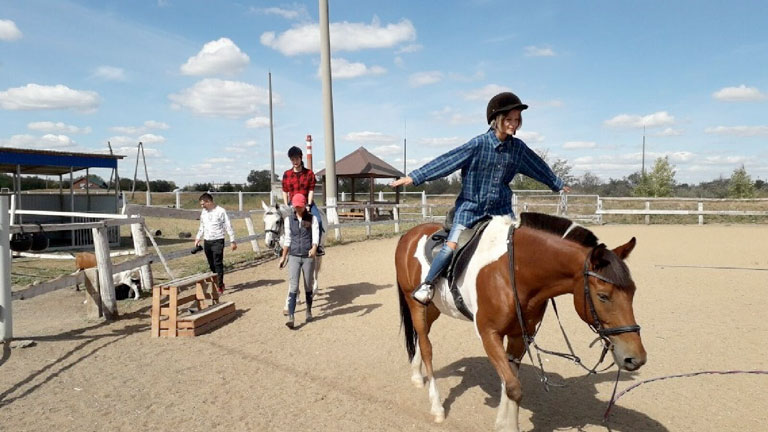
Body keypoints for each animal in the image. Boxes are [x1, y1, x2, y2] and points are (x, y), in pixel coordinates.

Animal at [396, 213, 648, 432]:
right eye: (603, 296)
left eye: (634, 292)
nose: (635, 358)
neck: (513, 272)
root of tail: (409, 234)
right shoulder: (489, 334)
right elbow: (514, 388)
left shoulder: (519, 335)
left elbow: (509, 383)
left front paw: (503, 423)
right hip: (416, 304)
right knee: (427, 347)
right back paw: (437, 406)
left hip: (433, 307)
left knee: (420, 337)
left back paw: (417, 376)